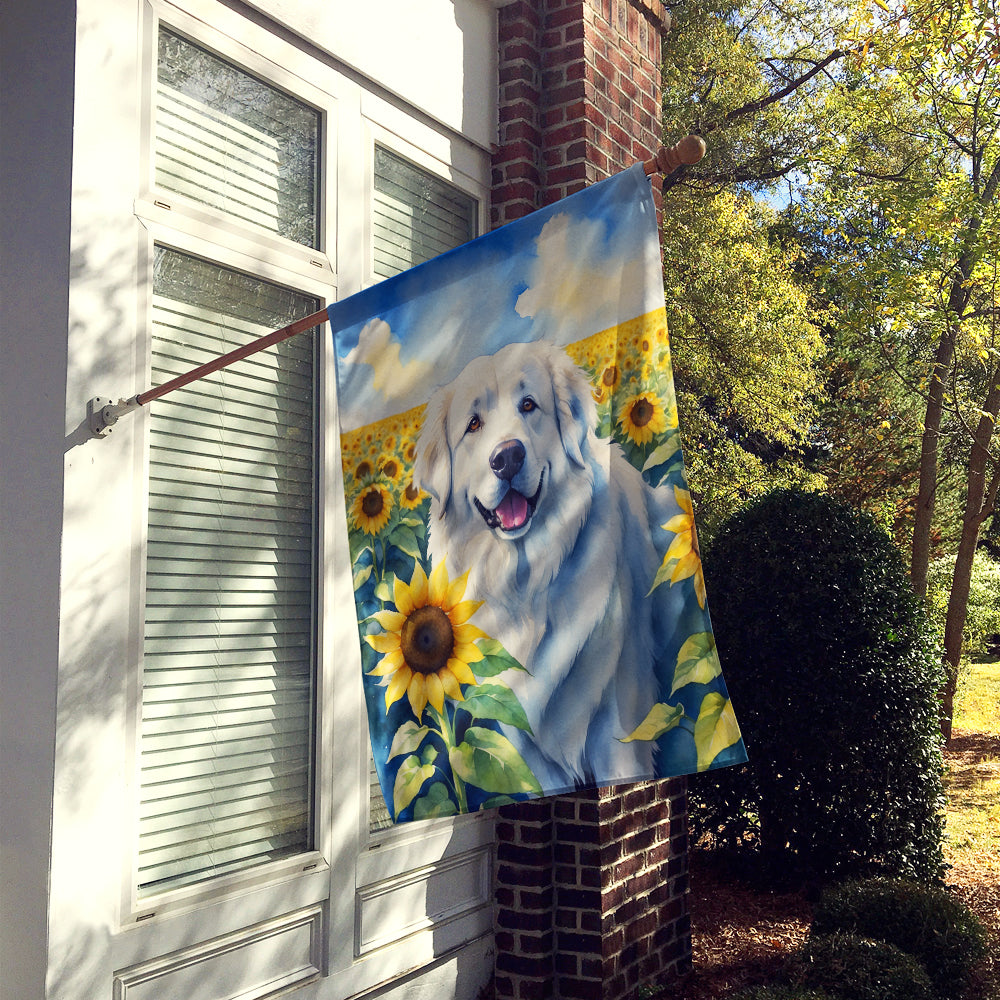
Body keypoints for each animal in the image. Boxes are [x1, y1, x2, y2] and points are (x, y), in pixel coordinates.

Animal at [410, 340, 676, 792]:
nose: (507, 457)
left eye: (529, 404)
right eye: (473, 425)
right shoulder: (521, 734)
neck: (526, 582)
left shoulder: (619, 724)